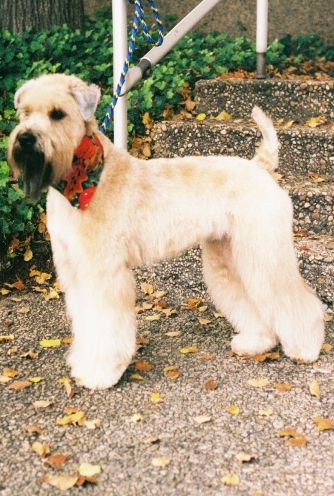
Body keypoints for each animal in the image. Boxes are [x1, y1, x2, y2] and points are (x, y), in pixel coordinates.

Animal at [7, 73, 324, 390]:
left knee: (297, 300)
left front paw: (101, 371)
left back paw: (306, 348)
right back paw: (256, 342)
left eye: (57, 113)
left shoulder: (103, 273)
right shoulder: (76, 270)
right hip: (229, 256)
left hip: (263, 251)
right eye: (25, 113)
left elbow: (105, 323)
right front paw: (85, 362)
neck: (81, 179)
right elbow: (86, 321)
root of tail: (260, 167)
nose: (25, 138)